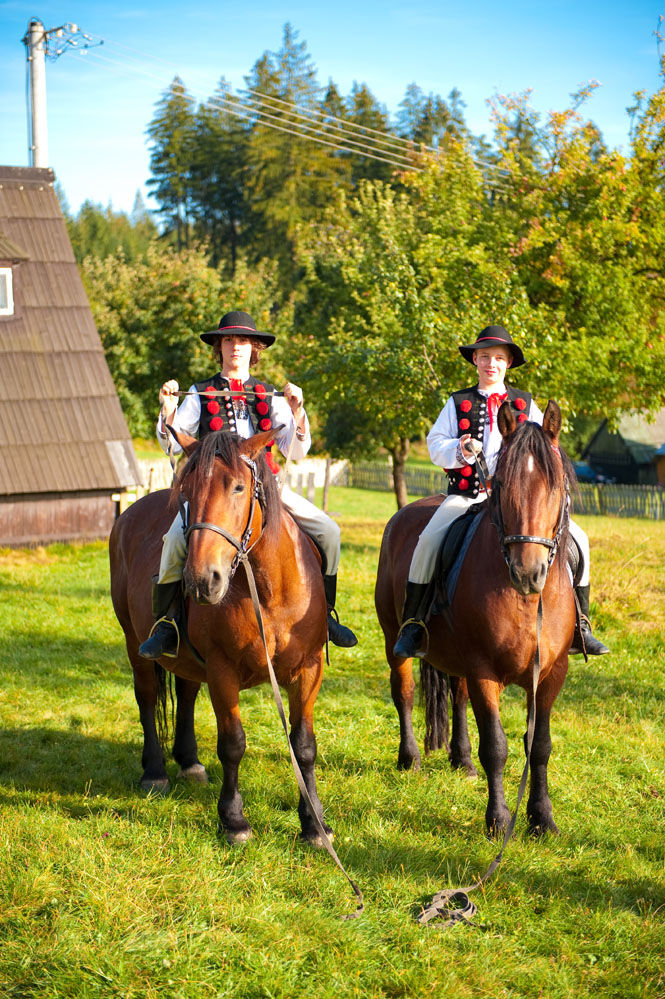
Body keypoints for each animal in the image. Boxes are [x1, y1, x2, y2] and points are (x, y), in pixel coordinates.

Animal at [109, 427, 331, 846]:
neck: (268, 591)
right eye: (186, 492)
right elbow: (232, 744)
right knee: (147, 696)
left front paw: (314, 824)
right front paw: (234, 820)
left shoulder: (308, 671)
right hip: (134, 643)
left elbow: (304, 747)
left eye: (239, 487)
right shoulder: (222, 671)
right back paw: (155, 771)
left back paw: (189, 762)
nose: (201, 580)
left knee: (185, 693)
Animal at [375, 400, 576, 837]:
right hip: (394, 640)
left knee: (457, 694)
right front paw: (498, 820)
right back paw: (410, 758)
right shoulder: (485, 670)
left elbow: (540, 745)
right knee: (405, 693)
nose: (527, 572)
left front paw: (542, 818)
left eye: (556, 487)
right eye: (500, 486)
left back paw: (461, 759)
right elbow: (496, 747)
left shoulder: (551, 674)